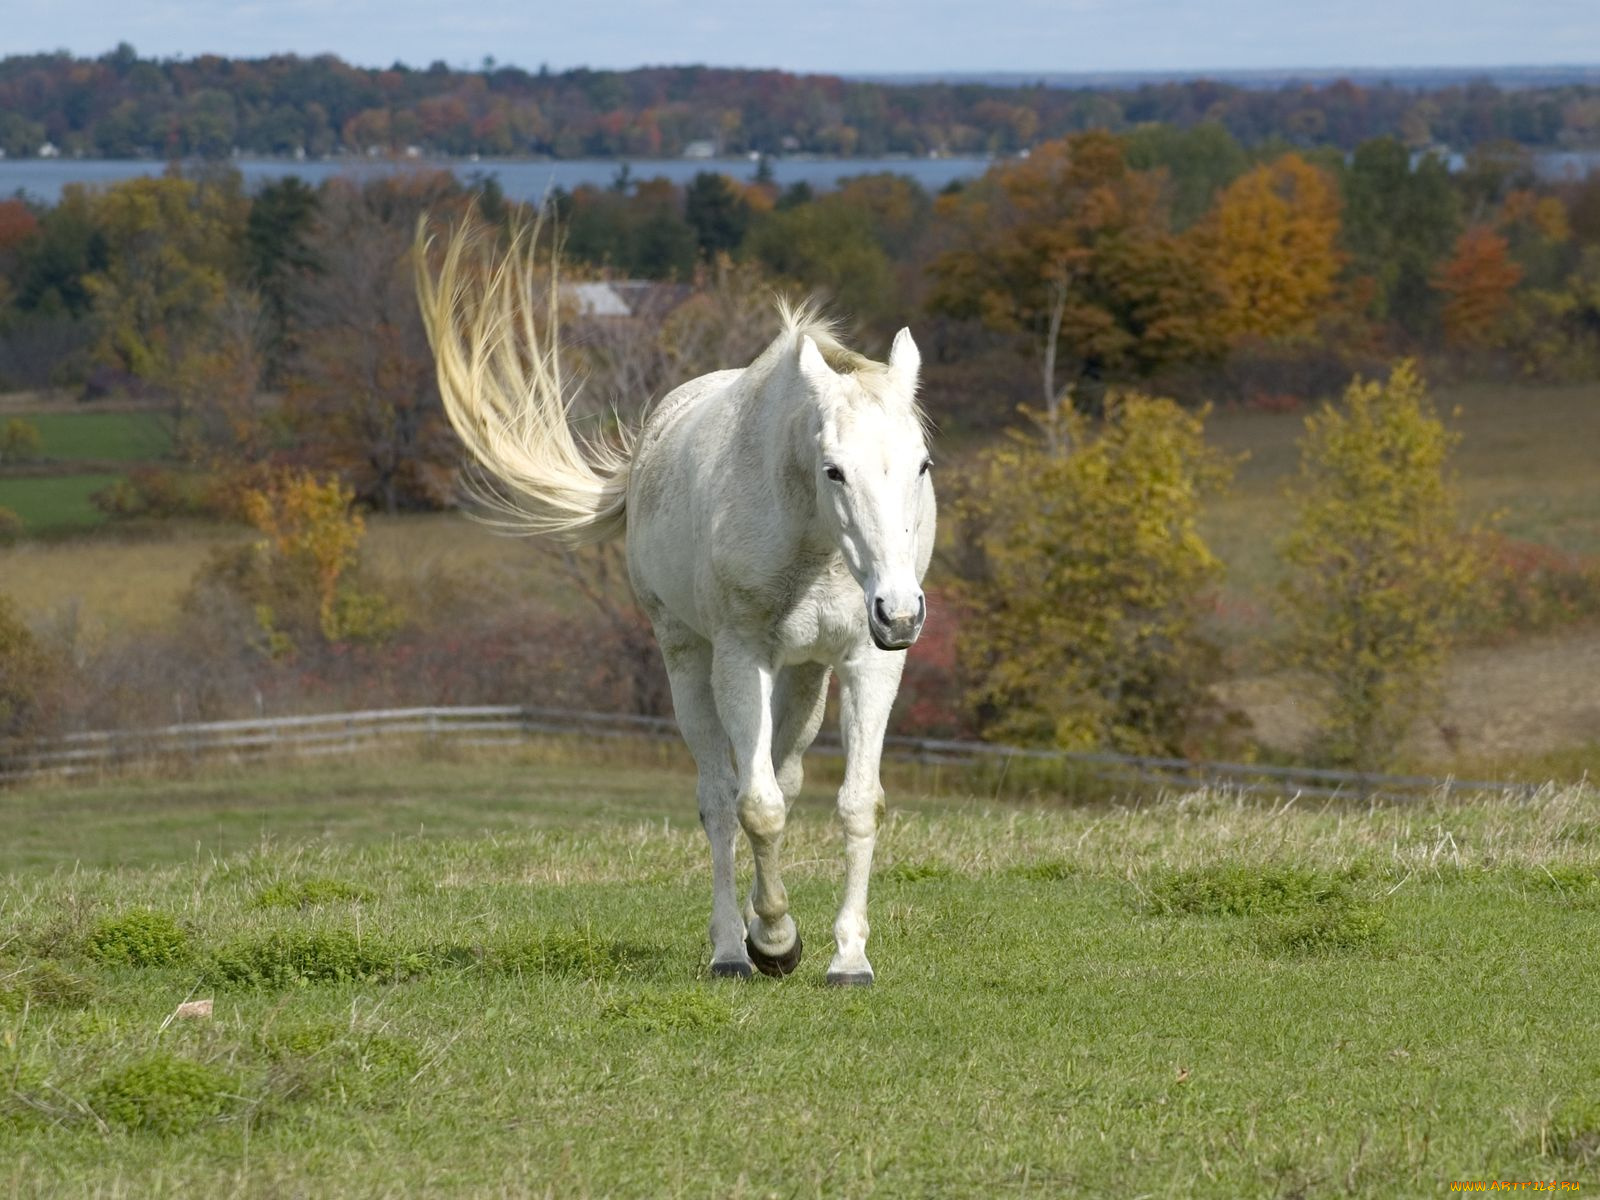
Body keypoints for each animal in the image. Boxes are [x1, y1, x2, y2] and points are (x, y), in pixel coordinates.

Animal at [416, 225, 934, 985]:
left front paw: (848, 957)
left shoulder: (869, 663)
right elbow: (754, 808)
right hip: (688, 660)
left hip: (806, 677)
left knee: (782, 775)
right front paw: (774, 940)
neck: (815, 542)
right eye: (834, 469)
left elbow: (855, 805)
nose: (899, 611)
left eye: (922, 463)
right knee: (721, 798)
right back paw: (733, 950)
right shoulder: (740, 659)